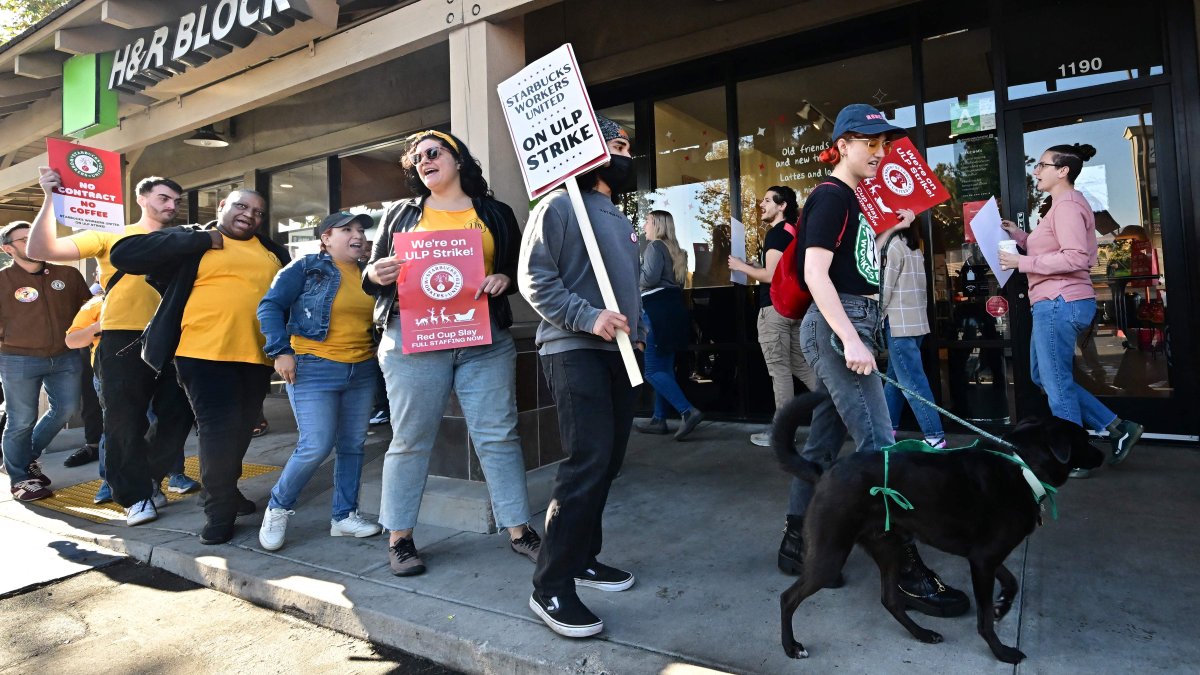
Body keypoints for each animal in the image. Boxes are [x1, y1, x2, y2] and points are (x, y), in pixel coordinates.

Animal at [772, 391, 1099, 658]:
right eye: (1084, 439)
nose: (1102, 452)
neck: (1022, 466)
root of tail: (825, 470)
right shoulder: (983, 560)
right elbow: (984, 621)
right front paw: (1001, 651)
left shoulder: (983, 557)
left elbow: (1012, 582)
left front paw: (1002, 604)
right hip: (830, 556)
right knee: (787, 598)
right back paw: (791, 646)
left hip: (887, 547)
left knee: (891, 600)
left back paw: (922, 633)